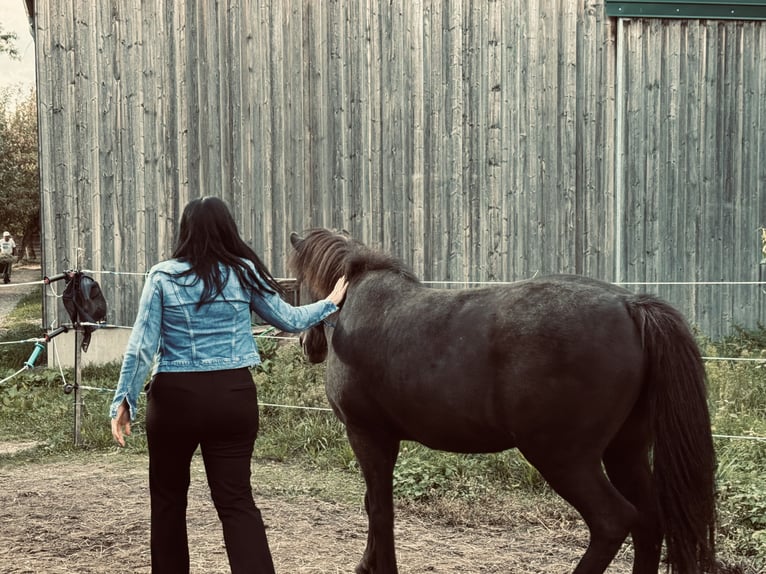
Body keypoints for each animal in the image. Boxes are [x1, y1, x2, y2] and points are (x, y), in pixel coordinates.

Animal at [288, 228, 717, 574]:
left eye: (297, 283)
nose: (307, 345)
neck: (359, 306)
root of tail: (631, 306)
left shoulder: (368, 435)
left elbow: (380, 510)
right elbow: (373, 505)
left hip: (564, 458)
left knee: (613, 521)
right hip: (624, 451)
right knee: (648, 521)